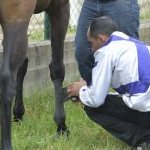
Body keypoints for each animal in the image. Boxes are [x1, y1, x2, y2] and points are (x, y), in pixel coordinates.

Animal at [0, 0, 69, 149]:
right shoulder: (60, 7)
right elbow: (57, 68)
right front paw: (61, 126)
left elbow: (23, 66)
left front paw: (18, 115)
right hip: (16, 18)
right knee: (7, 80)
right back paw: (7, 145)